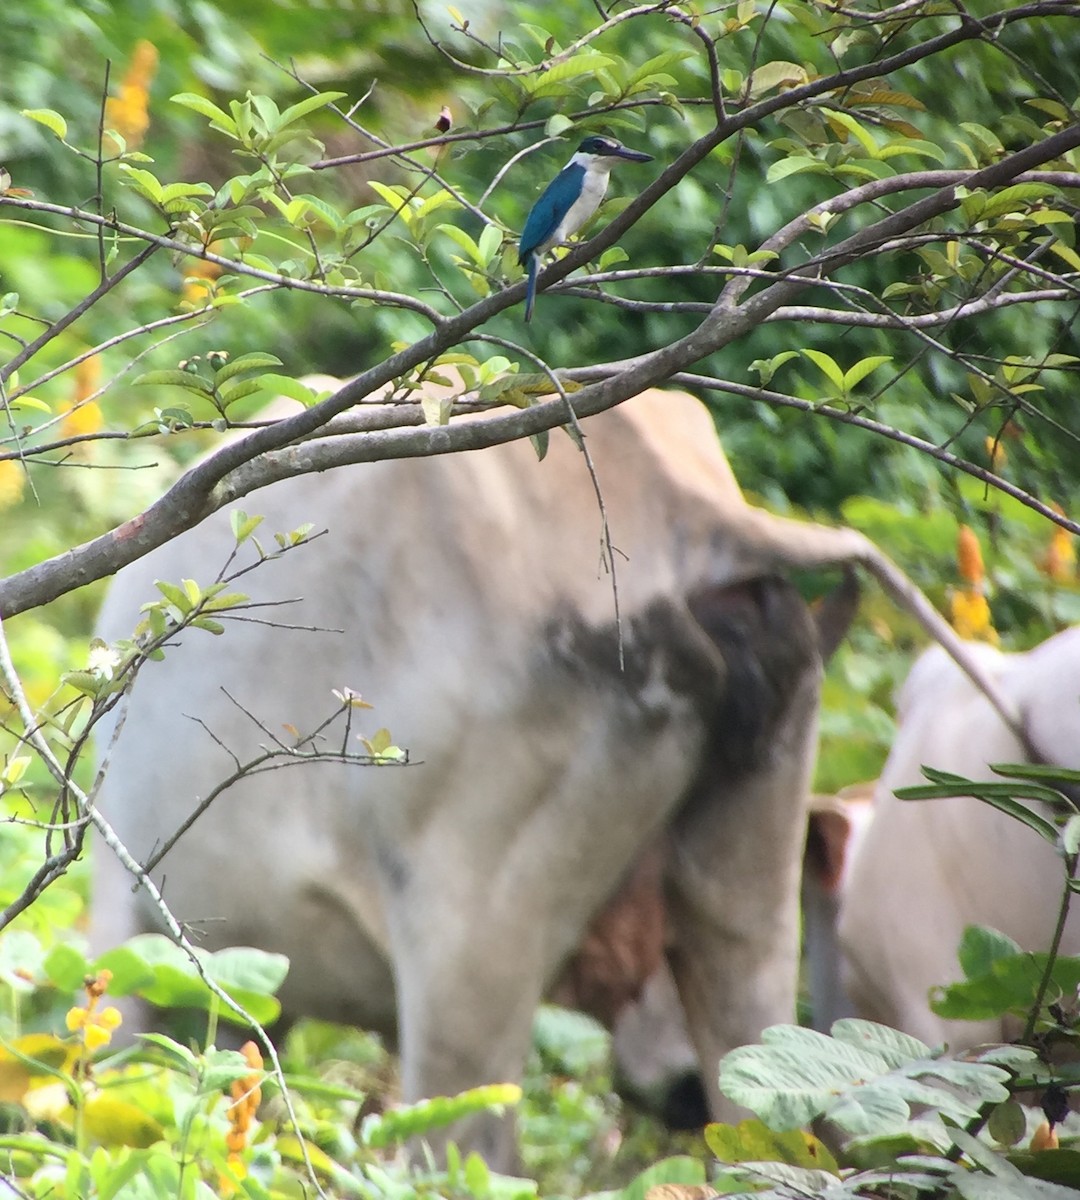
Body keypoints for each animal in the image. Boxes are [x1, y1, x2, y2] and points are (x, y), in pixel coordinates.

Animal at [88, 381, 998, 1161]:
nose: (670, 1090)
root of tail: (686, 513)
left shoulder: (129, 930)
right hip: (754, 903)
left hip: (466, 949)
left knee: (468, 1150)